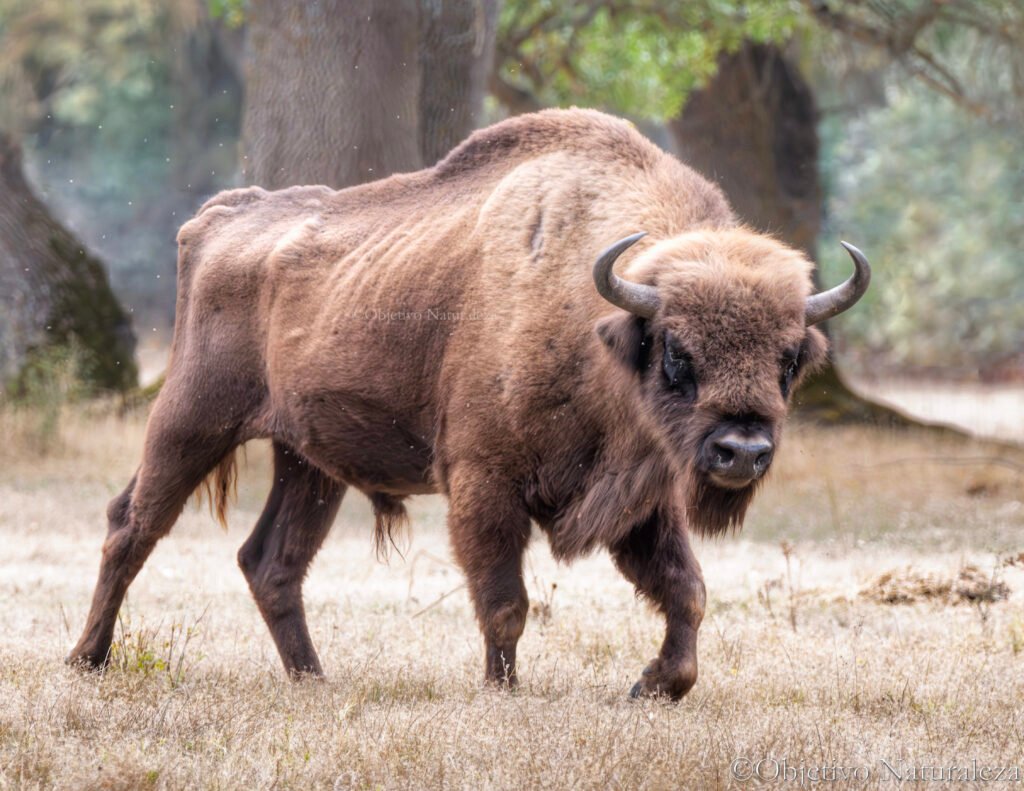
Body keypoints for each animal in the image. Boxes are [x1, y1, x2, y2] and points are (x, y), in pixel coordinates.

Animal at [69, 109, 869, 698]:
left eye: (789, 358)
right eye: (677, 351)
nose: (743, 451)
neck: (594, 315)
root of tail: (216, 219)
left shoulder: (642, 503)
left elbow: (687, 589)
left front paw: (655, 686)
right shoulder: (486, 485)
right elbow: (506, 600)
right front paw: (502, 691)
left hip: (307, 461)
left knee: (272, 561)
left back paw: (314, 679)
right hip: (191, 420)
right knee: (130, 526)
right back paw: (87, 659)